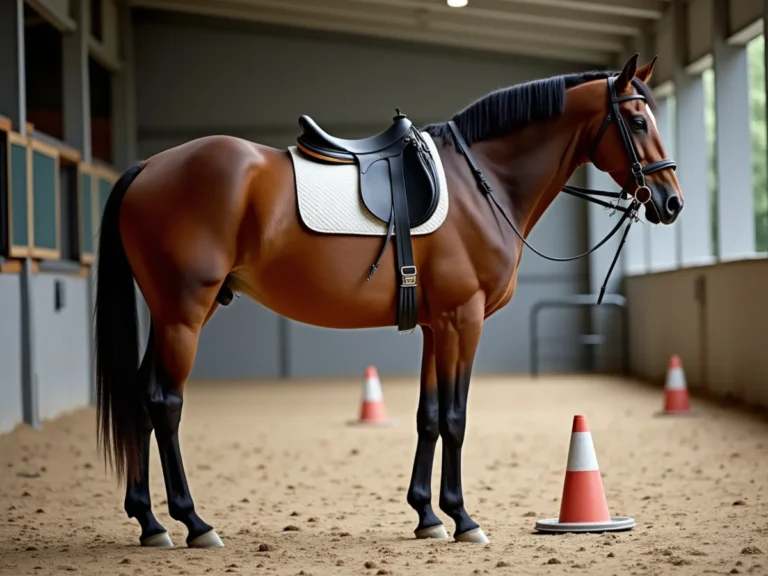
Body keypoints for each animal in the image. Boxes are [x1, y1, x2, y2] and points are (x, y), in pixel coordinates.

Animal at [94, 53, 682, 549]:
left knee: (142, 398)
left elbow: (428, 416)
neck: (483, 183)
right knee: (165, 403)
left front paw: (426, 516)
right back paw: (194, 523)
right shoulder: (463, 320)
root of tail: (149, 167)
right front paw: (463, 518)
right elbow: (455, 417)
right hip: (184, 314)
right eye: (637, 122)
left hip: (176, 314)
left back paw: (149, 522)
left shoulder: (435, 325)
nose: (672, 202)